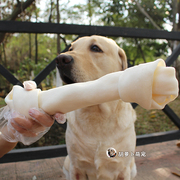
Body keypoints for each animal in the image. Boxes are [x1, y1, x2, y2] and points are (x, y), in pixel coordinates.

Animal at [56, 35, 136, 180]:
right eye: (71, 48)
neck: (98, 115)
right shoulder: (77, 168)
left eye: (95, 48)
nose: (60, 59)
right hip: (67, 163)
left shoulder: (123, 169)